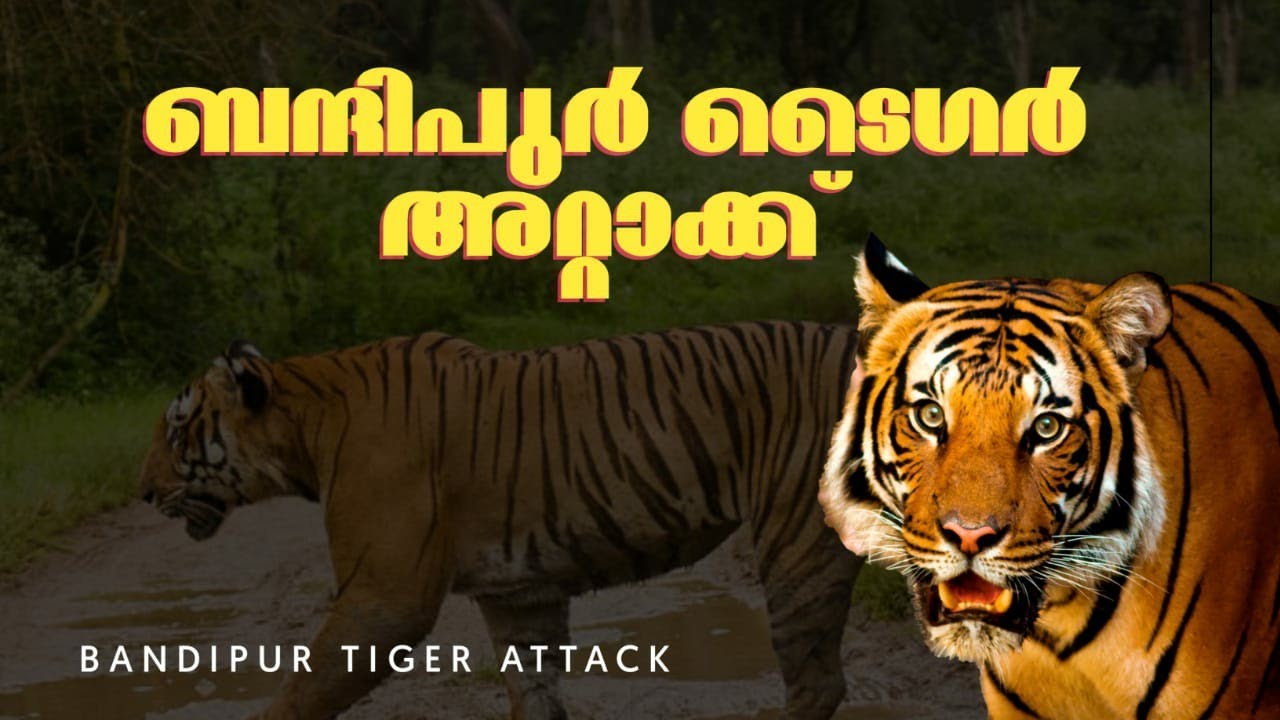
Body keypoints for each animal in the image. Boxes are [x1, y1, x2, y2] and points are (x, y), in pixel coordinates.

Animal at [139, 321, 865, 720]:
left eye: (176, 432)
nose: (142, 492)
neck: (304, 427)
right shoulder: (519, 594)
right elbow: (534, 693)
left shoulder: (384, 596)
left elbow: (305, 692)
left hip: (797, 543)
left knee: (817, 684)